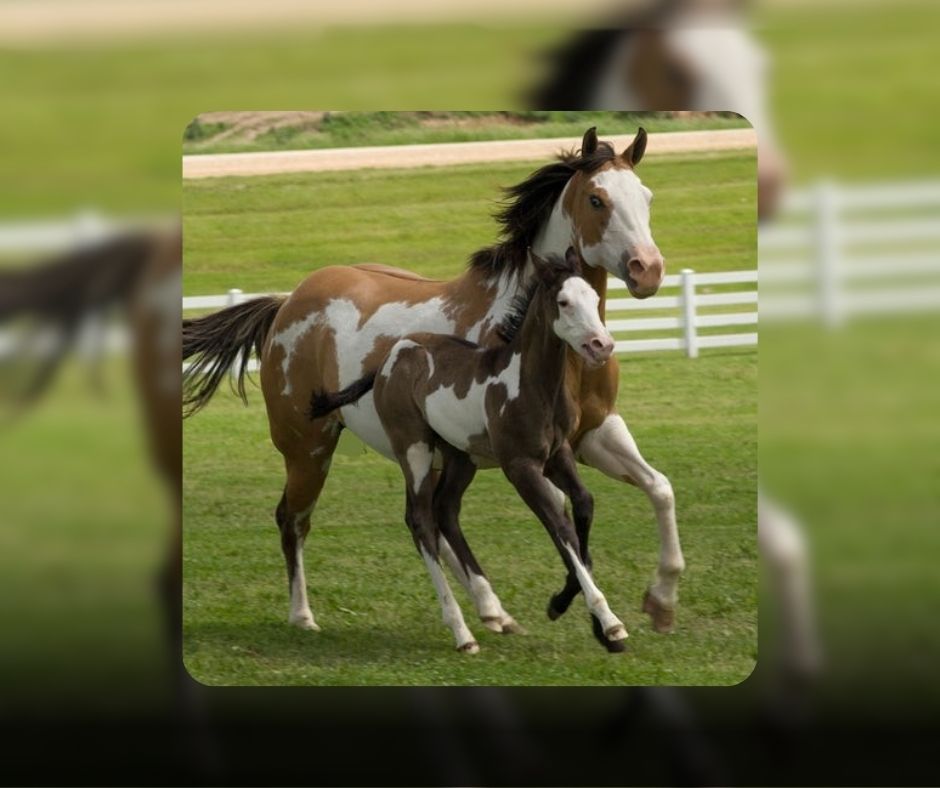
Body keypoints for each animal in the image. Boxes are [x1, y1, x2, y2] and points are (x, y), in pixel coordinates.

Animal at [309, 248, 626, 653]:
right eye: (564, 302)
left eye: (593, 295)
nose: (602, 345)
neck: (529, 384)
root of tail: (390, 358)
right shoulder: (520, 466)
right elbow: (558, 524)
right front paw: (610, 623)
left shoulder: (558, 455)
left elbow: (583, 507)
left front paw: (563, 605)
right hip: (415, 449)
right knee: (421, 520)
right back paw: (462, 632)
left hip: (460, 457)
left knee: (446, 510)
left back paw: (491, 611)